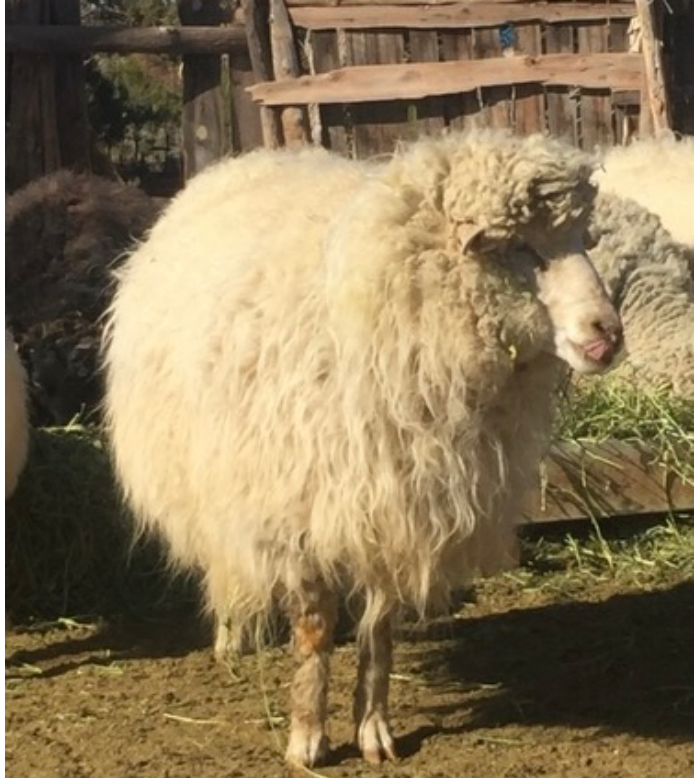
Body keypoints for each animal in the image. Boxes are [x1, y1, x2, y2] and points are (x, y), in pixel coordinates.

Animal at [103, 130, 622, 767]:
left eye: (582, 240)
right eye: (517, 246)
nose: (608, 334)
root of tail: (246, 160)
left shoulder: (396, 501)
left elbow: (380, 629)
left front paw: (374, 729)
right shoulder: (300, 506)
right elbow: (314, 628)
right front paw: (307, 738)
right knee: (222, 559)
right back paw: (231, 636)